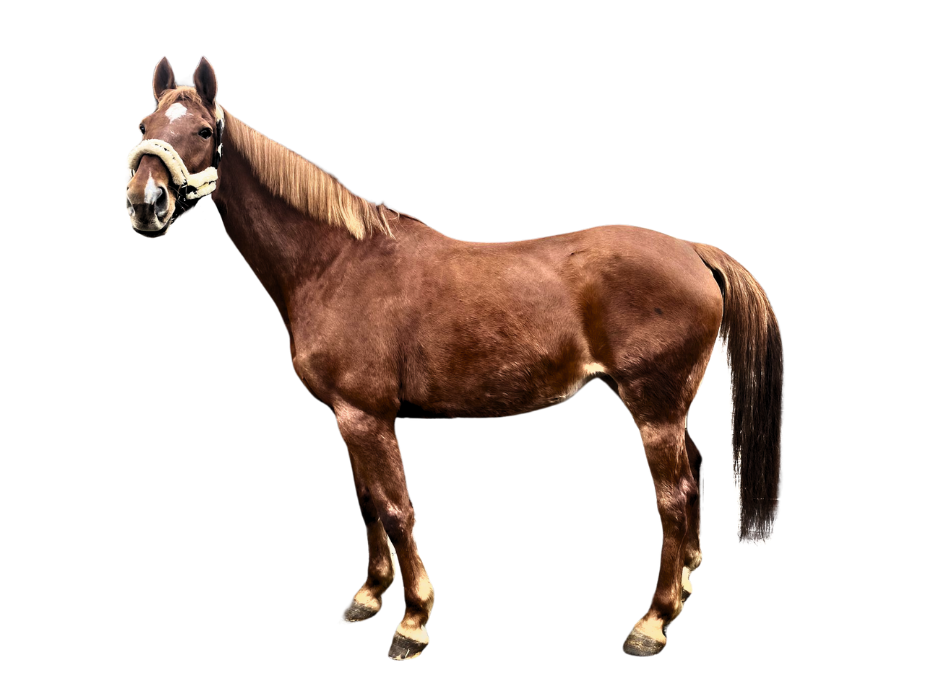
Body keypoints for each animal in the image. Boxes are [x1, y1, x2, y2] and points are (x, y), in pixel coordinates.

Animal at [124, 55, 784, 660]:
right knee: (695, 474)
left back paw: (652, 622)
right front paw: (368, 596)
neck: (334, 263)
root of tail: (692, 251)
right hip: (665, 407)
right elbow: (367, 501)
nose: (145, 203)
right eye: (145, 123)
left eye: (203, 130)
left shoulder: (368, 415)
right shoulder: (346, 416)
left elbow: (397, 509)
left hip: (653, 410)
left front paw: (413, 620)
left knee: (672, 498)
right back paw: (687, 583)